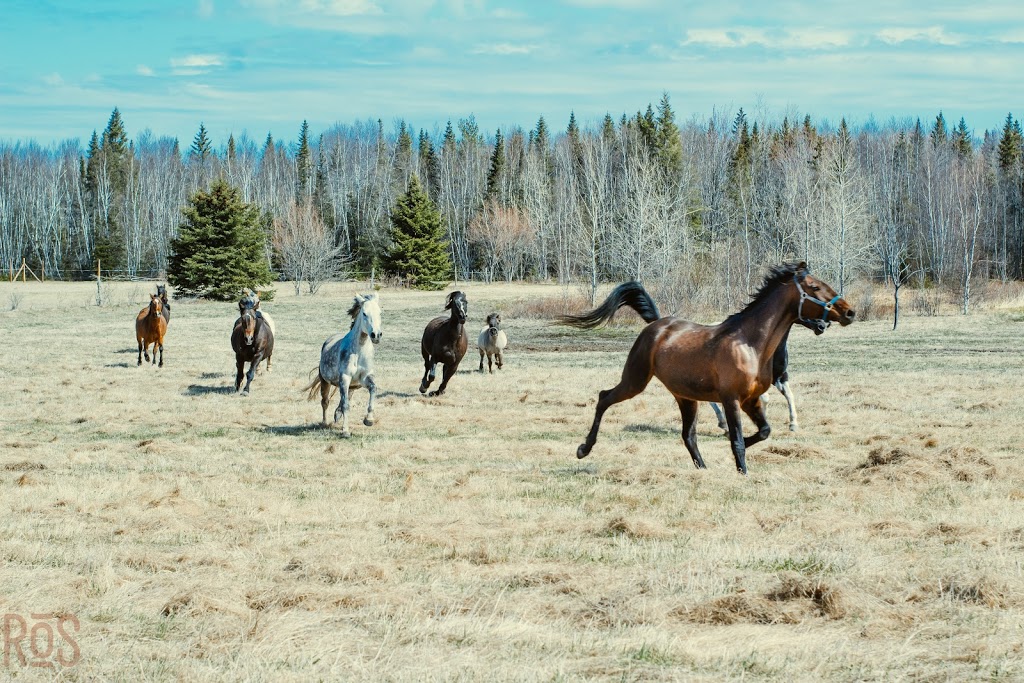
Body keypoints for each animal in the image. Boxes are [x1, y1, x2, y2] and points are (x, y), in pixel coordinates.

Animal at [302, 294, 383, 437]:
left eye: (380, 312)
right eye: (364, 313)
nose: (376, 335)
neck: (359, 351)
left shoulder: (365, 377)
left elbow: (373, 389)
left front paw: (369, 420)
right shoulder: (345, 377)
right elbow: (345, 405)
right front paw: (345, 431)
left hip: (352, 386)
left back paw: (337, 414)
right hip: (325, 382)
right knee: (325, 402)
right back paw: (325, 423)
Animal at [557, 263, 855, 474]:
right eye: (814, 287)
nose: (849, 312)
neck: (750, 343)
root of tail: (657, 325)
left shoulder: (751, 400)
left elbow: (764, 431)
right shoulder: (731, 400)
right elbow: (737, 439)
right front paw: (741, 469)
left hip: (686, 397)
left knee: (688, 435)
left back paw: (703, 468)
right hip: (635, 380)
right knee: (604, 397)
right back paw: (584, 448)